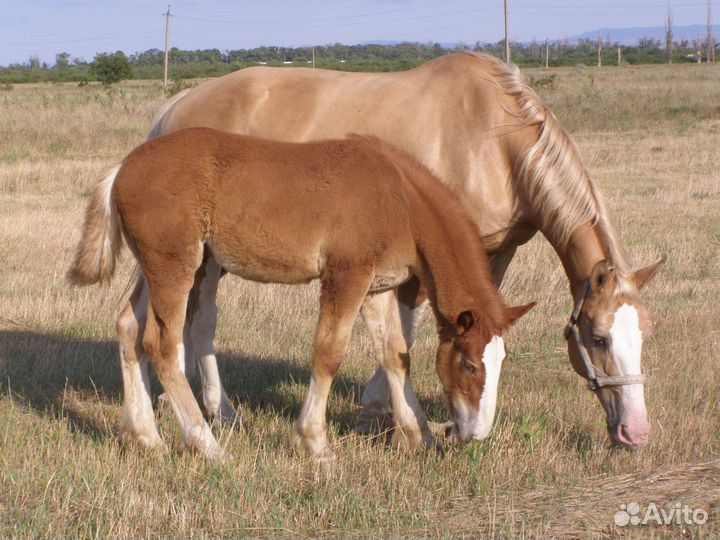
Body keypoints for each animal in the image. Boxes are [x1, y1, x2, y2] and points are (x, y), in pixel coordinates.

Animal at [68, 128, 534, 460]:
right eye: (470, 365)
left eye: (502, 361)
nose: (475, 434)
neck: (400, 197)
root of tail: (123, 167)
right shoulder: (345, 276)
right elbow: (328, 354)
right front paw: (314, 443)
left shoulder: (377, 288)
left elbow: (396, 356)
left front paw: (418, 435)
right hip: (175, 266)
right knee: (161, 344)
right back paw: (207, 445)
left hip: (161, 267)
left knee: (128, 328)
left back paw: (145, 436)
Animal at [140, 51, 664, 450]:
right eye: (598, 338)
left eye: (646, 334)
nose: (635, 432)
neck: (492, 141)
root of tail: (179, 103)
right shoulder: (419, 260)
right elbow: (407, 332)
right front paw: (384, 411)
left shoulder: (493, 253)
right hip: (208, 256)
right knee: (196, 320)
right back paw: (207, 410)